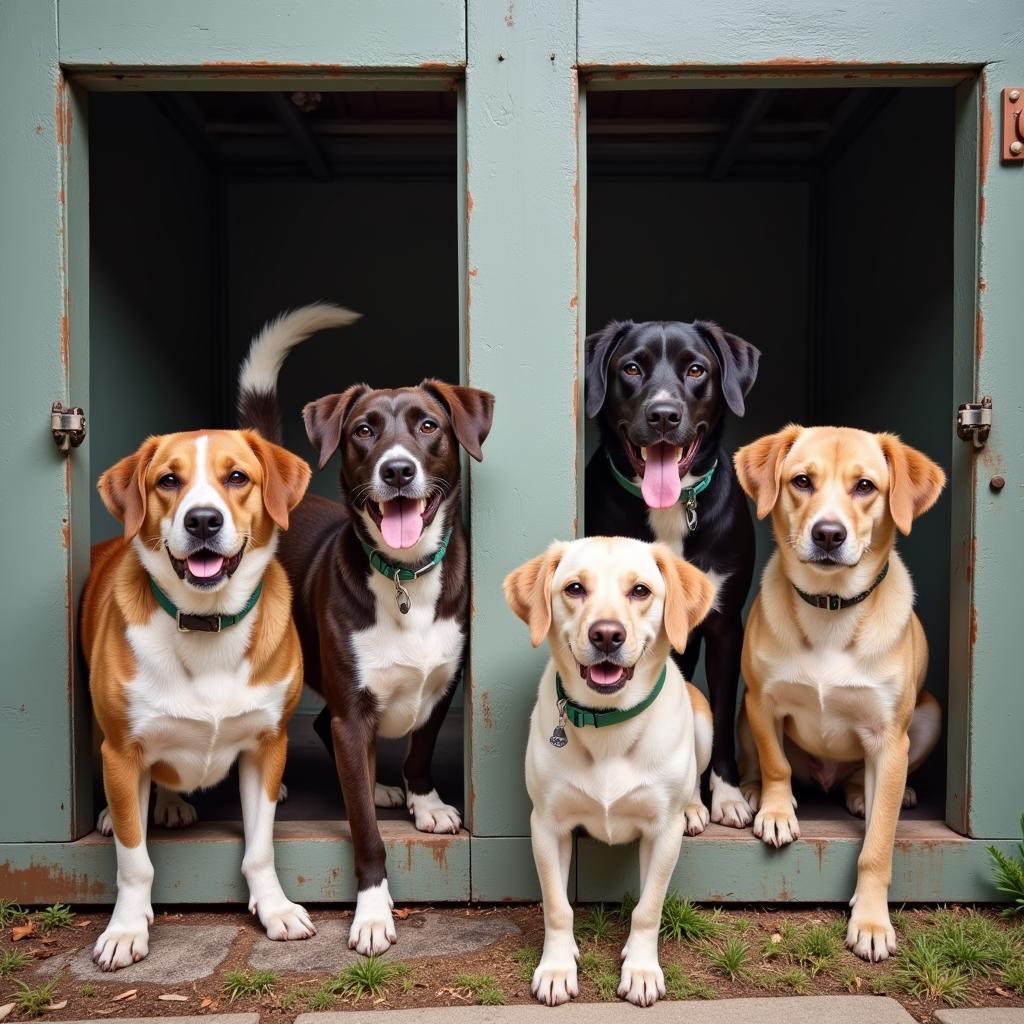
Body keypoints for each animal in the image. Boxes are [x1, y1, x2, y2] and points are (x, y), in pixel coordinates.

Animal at [82, 428, 311, 970]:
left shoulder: (266, 745)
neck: (208, 622)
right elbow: (135, 860)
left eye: (237, 476)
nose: (202, 519)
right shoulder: (123, 753)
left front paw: (275, 908)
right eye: (169, 480)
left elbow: (260, 848)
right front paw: (125, 929)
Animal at [239, 301, 495, 950]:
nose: (398, 470)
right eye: (364, 430)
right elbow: (366, 832)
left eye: (428, 425)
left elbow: (421, 749)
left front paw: (424, 801)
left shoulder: (445, 684)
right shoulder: (354, 715)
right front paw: (374, 912)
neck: (404, 577)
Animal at [503, 540, 712, 1003]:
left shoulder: (663, 832)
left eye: (640, 590)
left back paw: (696, 808)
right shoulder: (546, 825)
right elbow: (557, 907)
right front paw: (557, 968)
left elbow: (648, 908)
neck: (609, 722)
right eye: (575, 588)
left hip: (703, 721)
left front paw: (642, 969)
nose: (606, 635)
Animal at [585, 323, 761, 827]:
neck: (670, 509)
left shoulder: (725, 626)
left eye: (696, 369)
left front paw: (726, 795)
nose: (663, 414)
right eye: (631, 367)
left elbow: (719, 714)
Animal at [737, 421, 942, 958]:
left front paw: (871, 921)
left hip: (928, 717)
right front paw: (776, 810)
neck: (830, 609)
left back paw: (867, 794)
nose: (828, 534)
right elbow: (776, 763)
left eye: (865, 486)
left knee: (868, 787)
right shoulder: (762, 704)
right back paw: (752, 792)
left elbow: (877, 848)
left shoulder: (890, 740)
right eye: (802, 481)